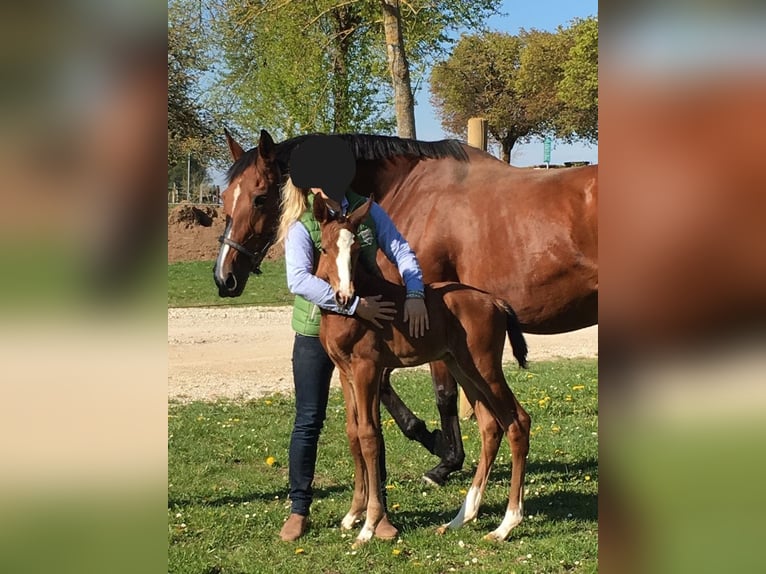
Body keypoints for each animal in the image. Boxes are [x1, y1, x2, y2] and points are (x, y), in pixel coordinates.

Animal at [213, 129, 597, 485]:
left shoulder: (426, 320)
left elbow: (441, 394)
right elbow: (389, 387)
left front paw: (443, 457)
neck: (414, 190)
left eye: (260, 197)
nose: (223, 276)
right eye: (224, 197)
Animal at [312, 194, 531, 545]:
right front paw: (352, 514)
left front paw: (368, 526)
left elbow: (369, 436)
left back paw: (505, 525)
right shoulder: (344, 373)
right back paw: (460, 518)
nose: (345, 296)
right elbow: (353, 433)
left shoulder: (366, 369)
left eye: (357, 250)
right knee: (490, 427)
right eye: (325, 248)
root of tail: (495, 302)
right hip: (462, 368)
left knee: (517, 422)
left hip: (485, 368)